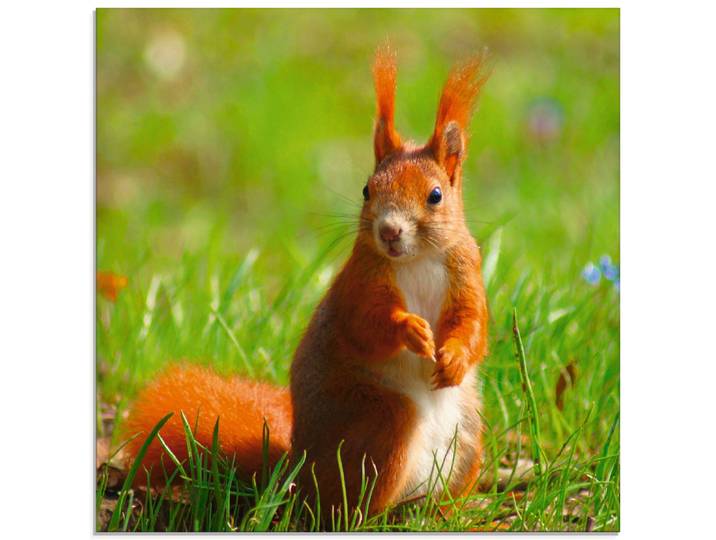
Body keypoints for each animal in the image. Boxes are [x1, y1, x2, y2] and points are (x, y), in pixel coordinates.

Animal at [123, 45, 490, 517]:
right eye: (367, 189)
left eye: (436, 195)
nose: (389, 232)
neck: (418, 259)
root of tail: (295, 472)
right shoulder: (360, 282)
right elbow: (364, 324)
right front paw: (410, 329)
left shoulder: (467, 273)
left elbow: (473, 325)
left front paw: (456, 357)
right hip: (382, 420)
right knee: (351, 503)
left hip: (468, 435)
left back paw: (448, 512)